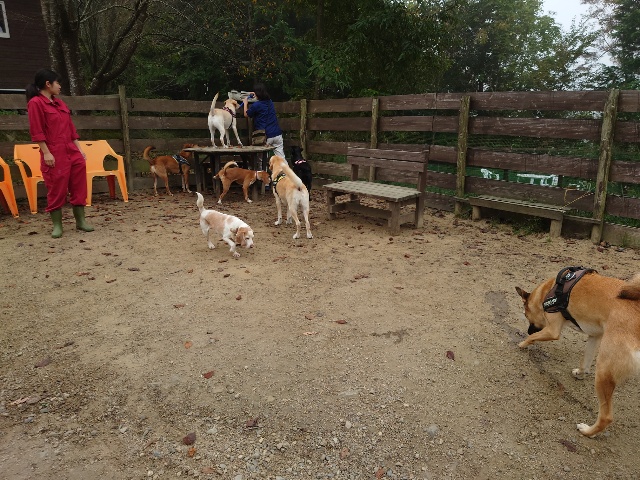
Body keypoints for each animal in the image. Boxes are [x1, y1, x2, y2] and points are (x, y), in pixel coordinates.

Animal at [516, 267, 640, 437]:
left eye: (526, 315)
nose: (528, 330)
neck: (547, 291)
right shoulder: (595, 336)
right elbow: (585, 361)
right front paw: (581, 373)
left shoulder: (553, 331)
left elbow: (534, 337)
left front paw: (522, 343)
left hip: (603, 371)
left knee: (606, 416)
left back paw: (588, 431)